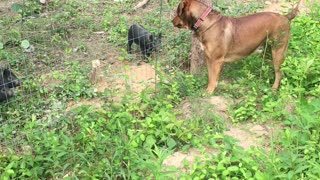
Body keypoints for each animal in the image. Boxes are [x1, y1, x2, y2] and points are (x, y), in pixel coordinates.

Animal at [172, 0, 302, 93]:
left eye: (177, 12)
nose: (171, 21)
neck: (204, 21)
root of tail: (286, 17)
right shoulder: (209, 59)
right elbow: (212, 77)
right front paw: (213, 88)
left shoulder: (216, 60)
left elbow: (212, 78)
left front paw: (208, 92)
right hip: (269, 50)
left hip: (278, 51)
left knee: (279, 73)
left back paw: (274, 88)